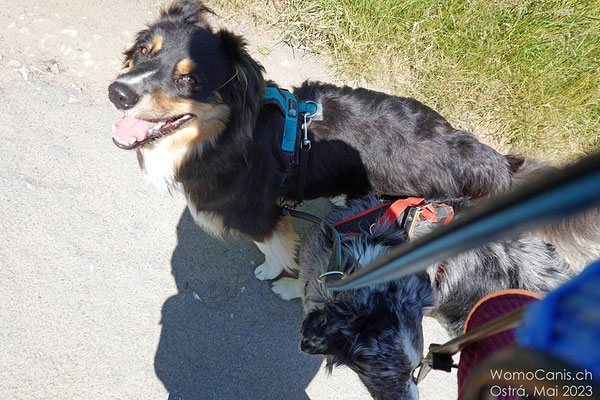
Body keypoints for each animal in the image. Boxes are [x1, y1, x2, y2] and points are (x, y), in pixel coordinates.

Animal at [105, 0, 536, 288]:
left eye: (189, 80)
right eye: (144, 50)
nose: (117, 93)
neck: (222, 139)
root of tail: (487, 158)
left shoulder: (258, 216)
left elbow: (273, 249)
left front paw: (269, 272)